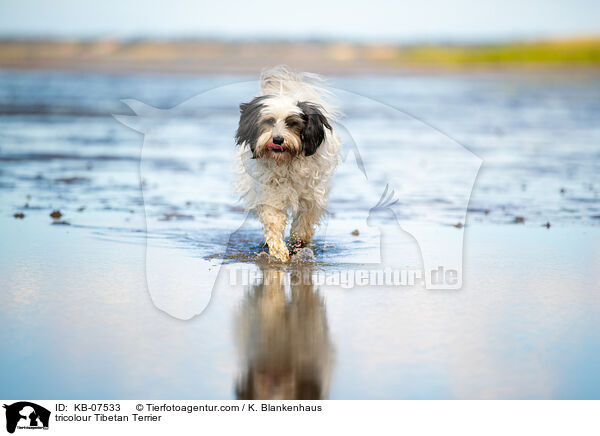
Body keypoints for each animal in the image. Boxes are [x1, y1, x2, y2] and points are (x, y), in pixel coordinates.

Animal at [234, 66, 340, 260]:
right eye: (269, 121)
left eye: (292, 123)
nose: (277, 139)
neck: (287, 162)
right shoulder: (271, 191)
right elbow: (273, 220)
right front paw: (279, 251)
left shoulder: (311, 196)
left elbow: (304, 223)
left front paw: (297, 244)